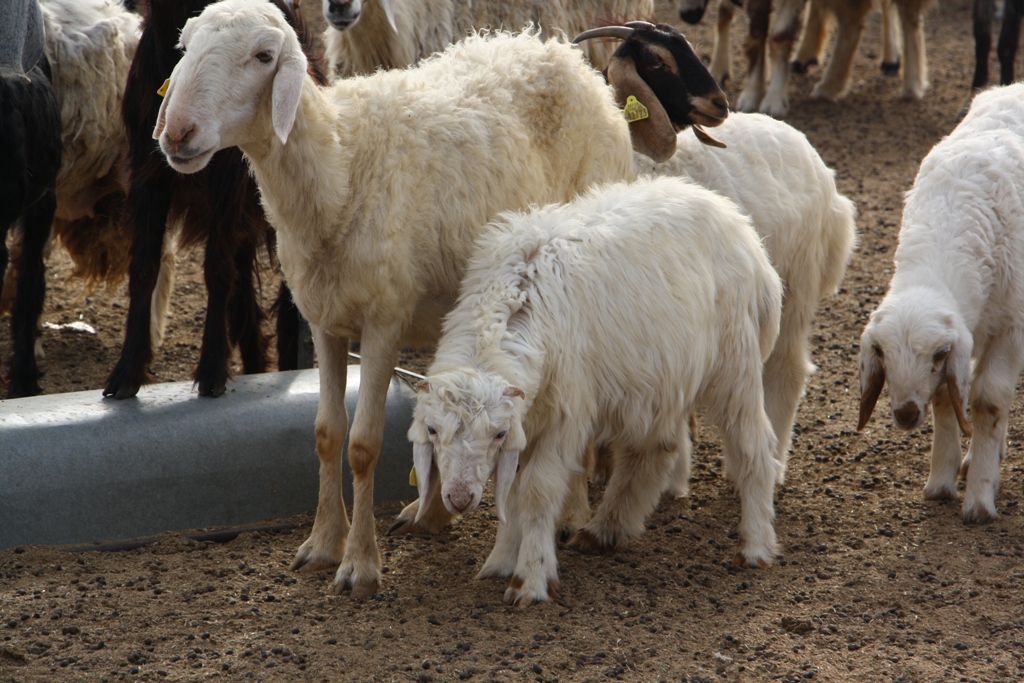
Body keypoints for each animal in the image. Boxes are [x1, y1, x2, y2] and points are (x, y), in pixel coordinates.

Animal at [103, 0, 323, 401]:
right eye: (184, 46)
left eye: (264, 55)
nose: (179, 131)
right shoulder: (147, 171)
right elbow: (143, 266)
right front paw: (126, 373)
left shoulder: (230, 181)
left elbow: (217, 270)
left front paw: (211, 371)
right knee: (244, 292)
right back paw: (255, 363)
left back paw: (289, 364)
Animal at [153, 0, 638, 598]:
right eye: (185, 46)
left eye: (264, 56)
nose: (177, 132)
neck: (339, 165)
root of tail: (560, 54)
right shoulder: (325, 320)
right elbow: (326, 434)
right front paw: (323, 544)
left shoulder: (383, 321)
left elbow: (363, 444)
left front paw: (359, 565)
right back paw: (431, 511)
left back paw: (574, 511)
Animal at [407, 175, 782, 602]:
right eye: (432, 430)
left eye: (498, 433)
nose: (459, 498)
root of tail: (742, 228)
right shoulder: (530, 422)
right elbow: (513, 496)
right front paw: (500, 560)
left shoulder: (563, 419)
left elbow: (535, 492)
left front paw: (530, 579)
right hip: (663, 377)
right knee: (656, 448)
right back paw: (607, 529)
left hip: (735, 365)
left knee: (755, 446)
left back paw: (755, 545)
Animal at [860, 83, 1024, 524]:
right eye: (880, 352)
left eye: (935, 355)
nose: (905, 414)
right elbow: (947, 397)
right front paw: (942, 482)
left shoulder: (1010, 328)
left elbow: (988, 400)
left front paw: (980, 499)